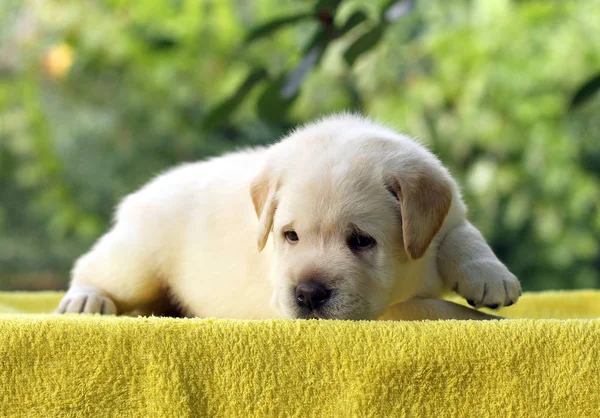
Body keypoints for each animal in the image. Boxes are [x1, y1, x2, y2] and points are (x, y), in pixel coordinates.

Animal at [58, 114, 524, 320]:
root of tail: (141, 193)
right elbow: (429, 306)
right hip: (137, 261)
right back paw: (86, 299)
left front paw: (490, 276)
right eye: (290, 236)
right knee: (90, 267)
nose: (308, 294)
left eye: (362, 240)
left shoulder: (447, 215)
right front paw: (478, 315)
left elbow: (463, 236)